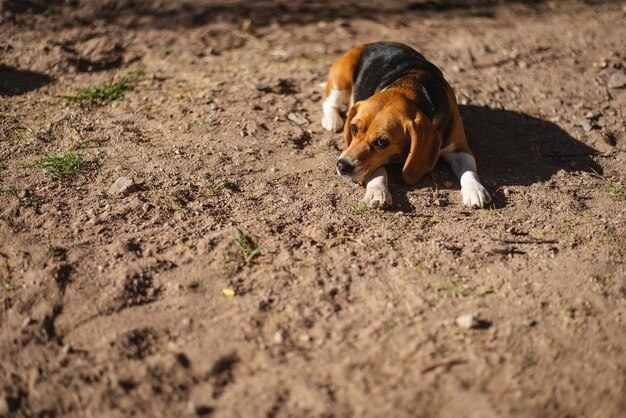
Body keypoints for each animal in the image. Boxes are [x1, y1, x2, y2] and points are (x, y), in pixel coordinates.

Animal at [320, 42, 490, 209]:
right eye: (354, 128)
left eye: (382, 142)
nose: (342, 166)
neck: (412, 89)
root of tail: (370, 43)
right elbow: (378, 171)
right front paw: (377, 191)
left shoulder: (460, 149)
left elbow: (469, 169)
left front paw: (475, 190)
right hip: (341, 82)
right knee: (329, 103)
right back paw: (332, 119)